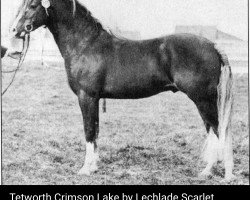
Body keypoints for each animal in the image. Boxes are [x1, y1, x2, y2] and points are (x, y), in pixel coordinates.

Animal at [8, 0, 233, 181]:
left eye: (33, 5)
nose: (14, 30)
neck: (85, 44)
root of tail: (213, 46)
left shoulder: (86, 97)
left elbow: (89, 131)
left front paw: (85, 169)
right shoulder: (95, 99)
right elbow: (96, 130)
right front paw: (94, 166)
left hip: (203, 100)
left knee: (218, 131)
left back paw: (222, 174)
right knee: (213, 131)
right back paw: (208, 171)